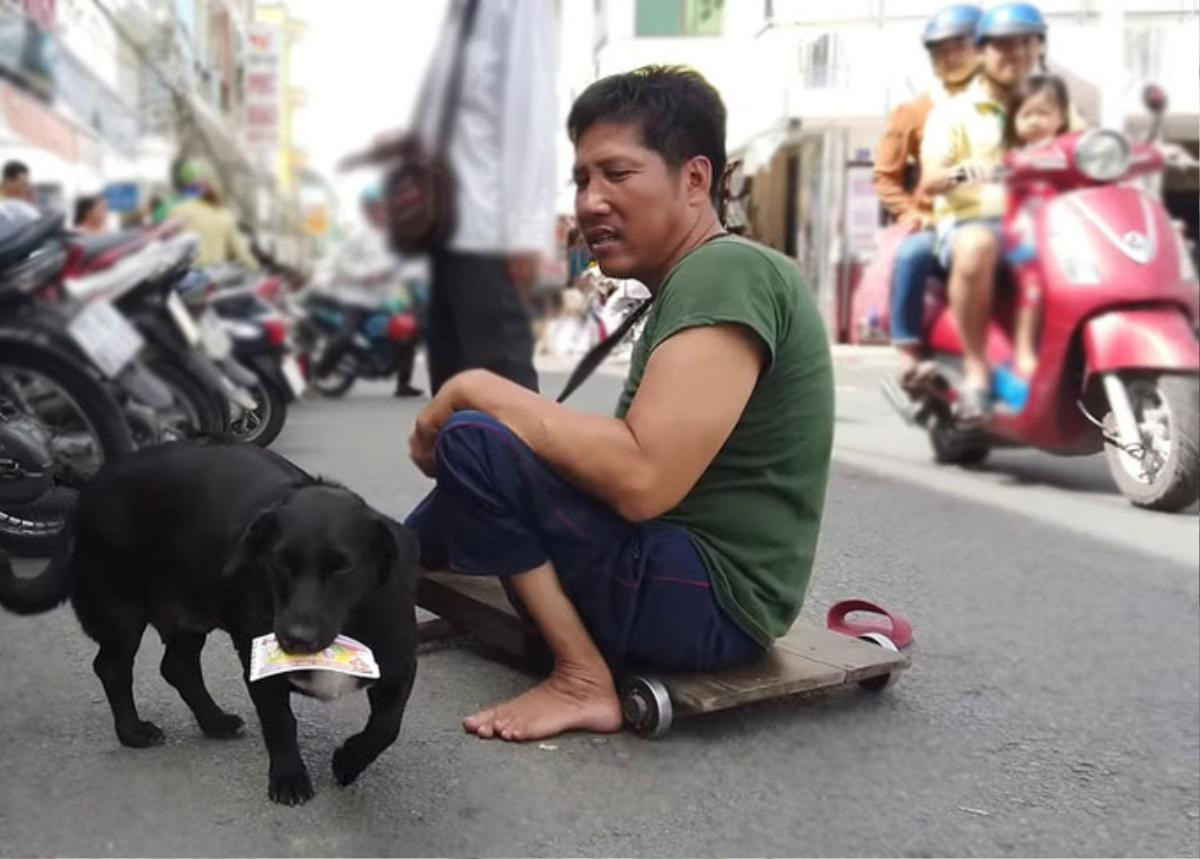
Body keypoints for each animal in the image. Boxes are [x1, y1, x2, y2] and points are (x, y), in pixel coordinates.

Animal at [0, 443, 417, 806]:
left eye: (343, 567)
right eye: (279, 562)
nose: (296, 639)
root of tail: (92, 482)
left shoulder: (398, 667)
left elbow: (387, 726)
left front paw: (348, 761)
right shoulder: (258, 665)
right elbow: (280, 723)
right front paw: (289, 778)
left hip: (188, 615)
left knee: (177, 667)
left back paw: (213, 721)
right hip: (121, 613)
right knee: (113, 667)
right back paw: (133, 731)